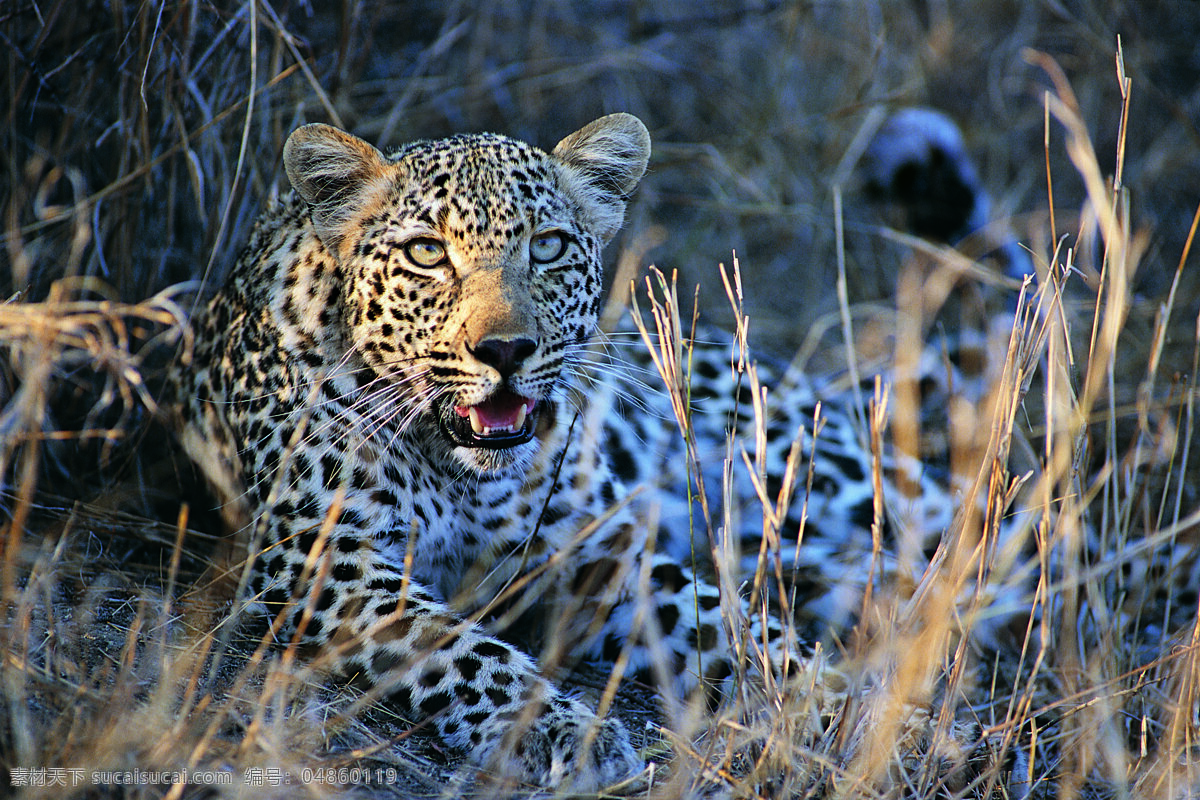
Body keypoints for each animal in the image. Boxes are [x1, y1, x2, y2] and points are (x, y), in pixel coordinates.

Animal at [169, 113, 1012, 796]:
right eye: (427, 254)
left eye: (547, 248)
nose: (504, 350)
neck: (458, 470)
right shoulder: (321, 563)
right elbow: (453, 643)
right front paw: (562, 732)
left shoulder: (603, 553)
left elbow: (737, 626)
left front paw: (864, 715)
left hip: (809, 465)